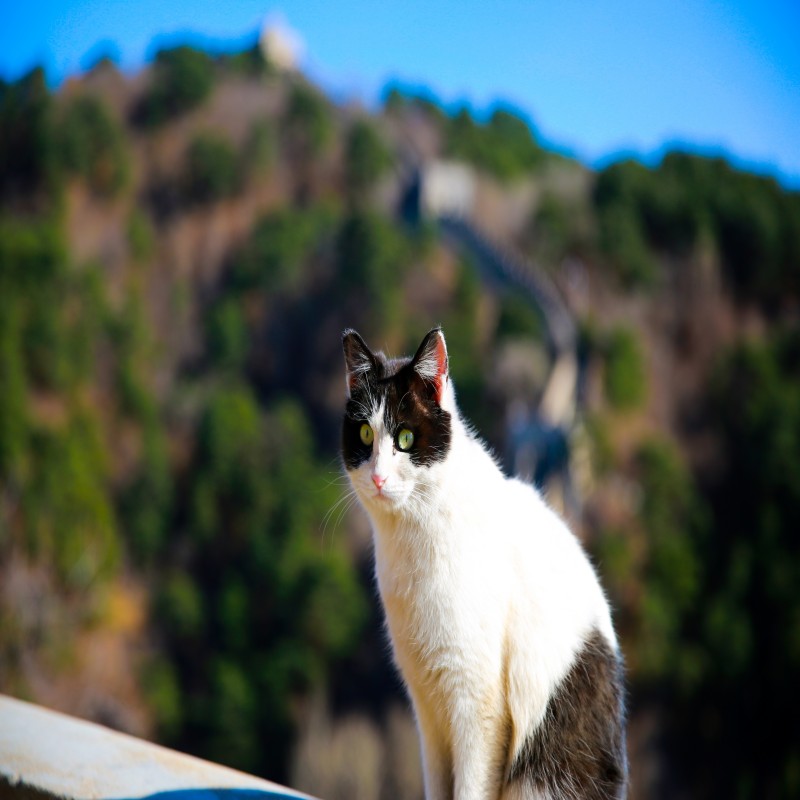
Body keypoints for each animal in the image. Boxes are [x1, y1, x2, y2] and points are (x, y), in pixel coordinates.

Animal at [340, 326, 628, 800]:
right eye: (364, 434)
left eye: (404, 439)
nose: (379, 477)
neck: (412, 539)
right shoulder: (428, 709)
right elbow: (438, 787)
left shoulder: (479, 706)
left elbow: (470, 788)